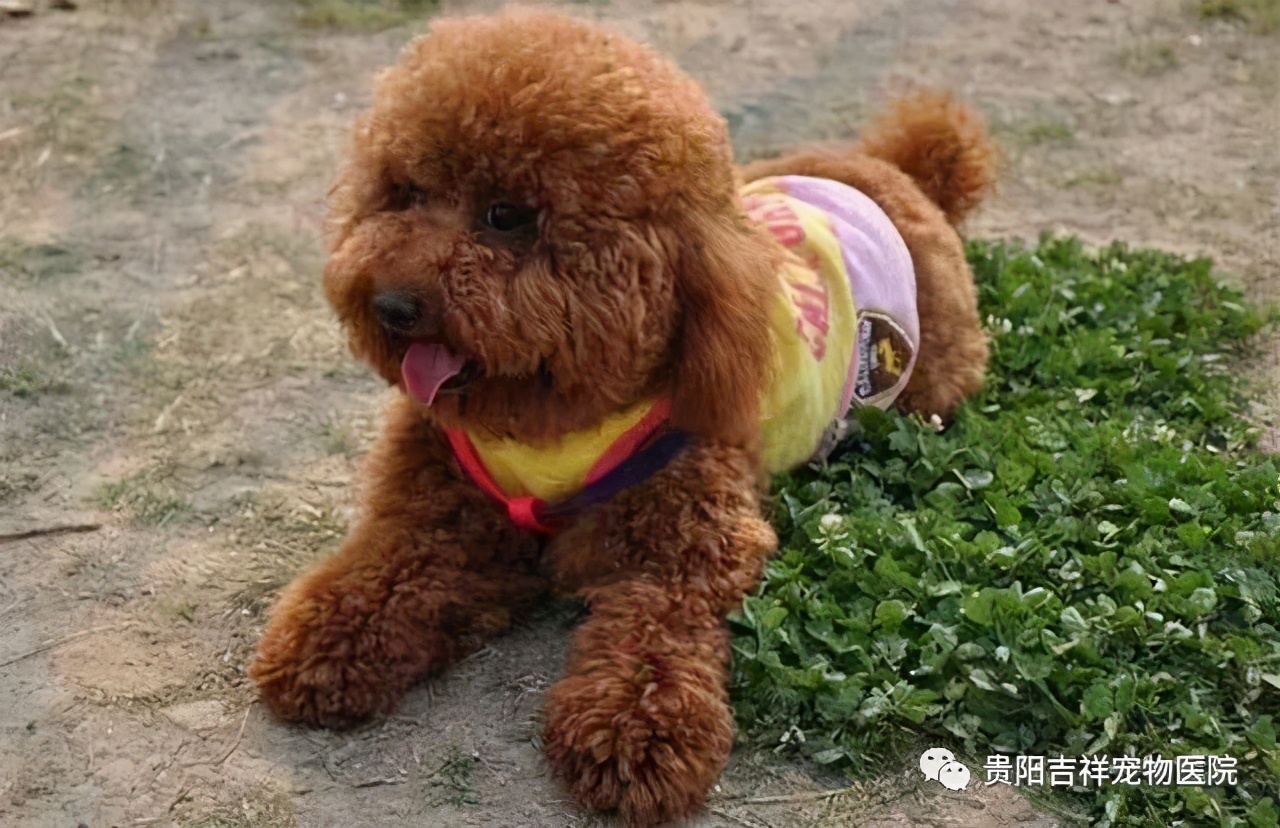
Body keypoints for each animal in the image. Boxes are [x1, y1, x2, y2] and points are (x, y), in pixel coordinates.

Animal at [250, 8, 993, 825]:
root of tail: (890, 173)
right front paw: (327, 643)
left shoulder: (687, 550)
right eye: (405, 192)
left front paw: (633, 733)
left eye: (506, 216)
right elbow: (383, 572)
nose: (391, 306)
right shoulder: (438, 510)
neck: (546, 417)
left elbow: (652, 635)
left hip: (936, 377)